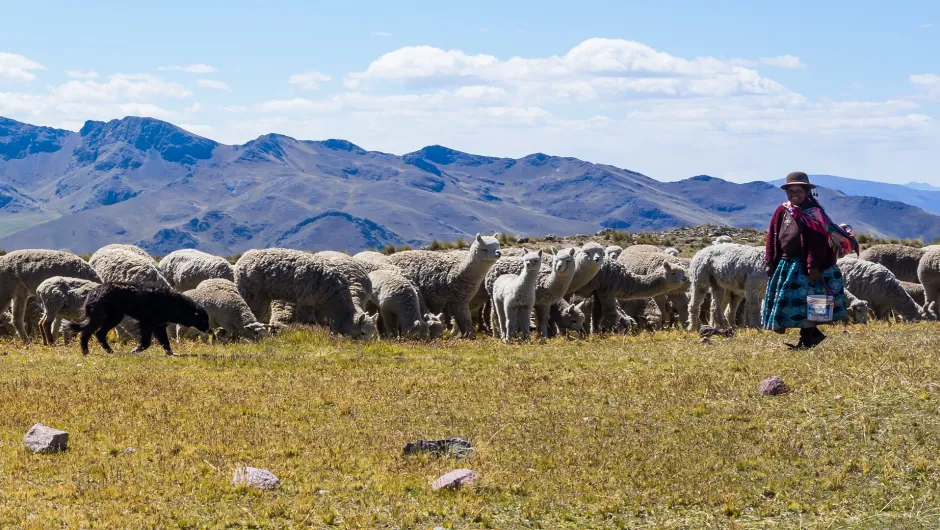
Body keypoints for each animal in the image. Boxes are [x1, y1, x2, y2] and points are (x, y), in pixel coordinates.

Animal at [68, 282, 209, 352]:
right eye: (204, 320)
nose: (210, 330)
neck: (177, 305)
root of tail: (94, 292)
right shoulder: (146, 323)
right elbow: (146, 342)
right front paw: (136, 350)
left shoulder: (159, 326)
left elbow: (165, 342)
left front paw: (171, 353)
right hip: (108, 317)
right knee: (88, 333)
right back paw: (86, 352)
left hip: (111, 317)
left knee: (98, 333)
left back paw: (109, 351)